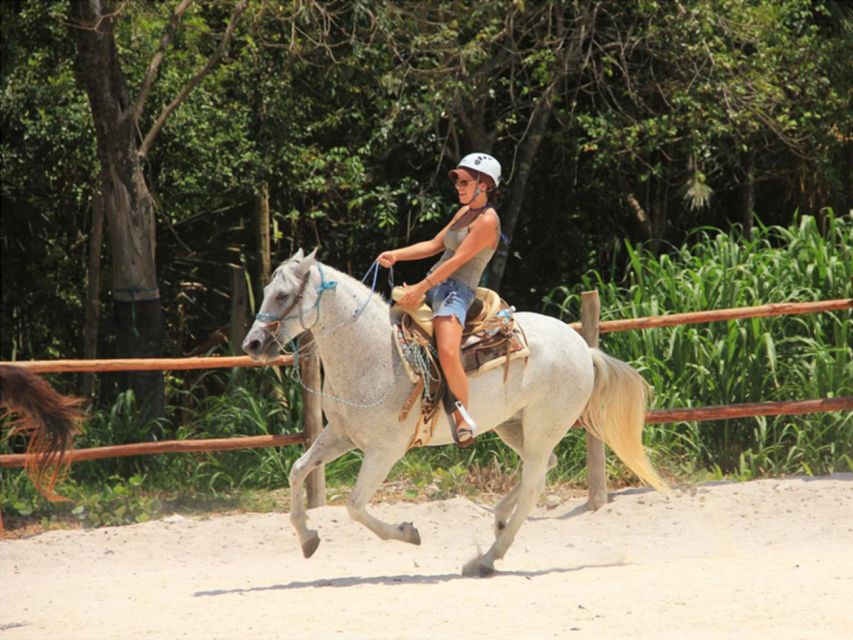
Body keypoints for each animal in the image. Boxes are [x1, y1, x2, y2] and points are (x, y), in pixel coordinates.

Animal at [243, 249, 668, 576]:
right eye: (264, 292)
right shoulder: (340, 435)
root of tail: (584, 348)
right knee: (544, 470)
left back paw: (487, 559)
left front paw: (408, 533)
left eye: (282, 295)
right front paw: (308, 538)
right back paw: (498, 522)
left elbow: (354, 505)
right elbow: (298, 471)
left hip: (542, 427)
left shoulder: (383, 451)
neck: (374, 352)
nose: (253, 343)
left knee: (534, 485)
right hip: (515, 427)